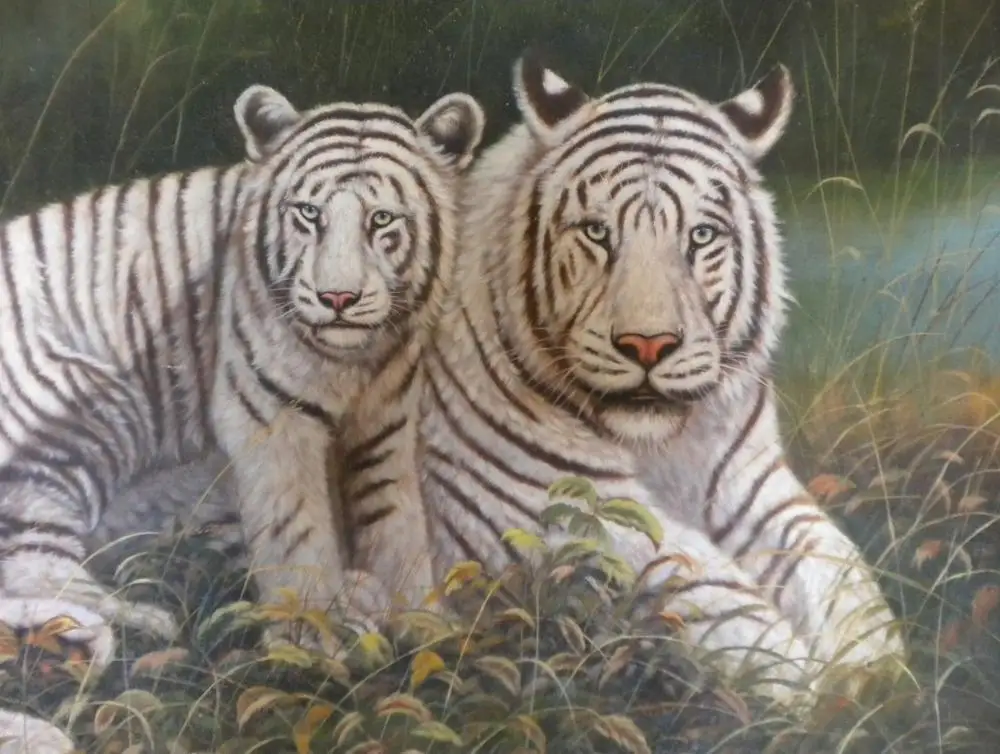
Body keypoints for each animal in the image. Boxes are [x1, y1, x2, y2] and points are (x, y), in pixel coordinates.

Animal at [0, 84, 484, 752]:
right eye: (309, 214)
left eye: (382, 220)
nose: (338, 299)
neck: (356, 361)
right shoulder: (272, 418)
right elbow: (296, 528)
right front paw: (311, 642)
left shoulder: (388, 422)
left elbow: (396, 521)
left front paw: (423, 628)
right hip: (87, 411)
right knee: (36, 561)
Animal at [340, 50, 906, 709]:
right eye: (597, 232)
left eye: (701, 235)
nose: (648, 344)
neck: (662, 446)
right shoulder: (554, 504)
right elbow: (702, 591)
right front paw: (803, 691)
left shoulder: (752, 487)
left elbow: (839, 575)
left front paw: (875, 679)